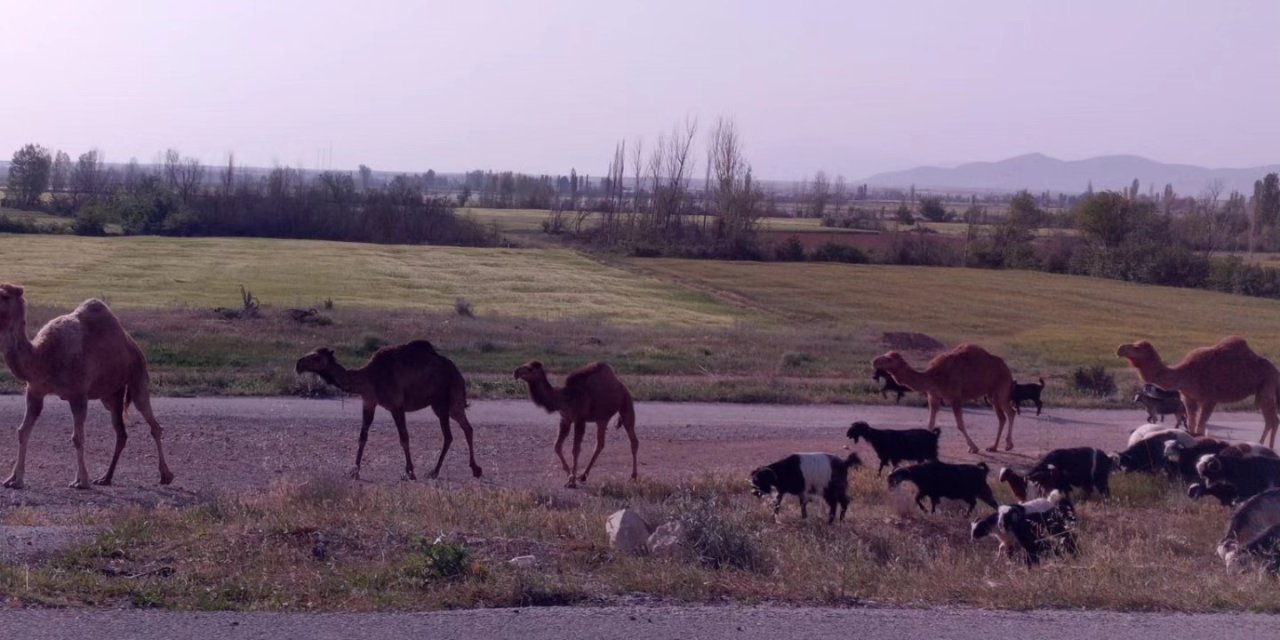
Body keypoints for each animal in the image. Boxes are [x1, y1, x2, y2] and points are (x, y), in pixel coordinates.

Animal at [0, 285, 174, 488]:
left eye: (5, 296)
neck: (42, 356)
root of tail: (133, 345)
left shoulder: (78, 394)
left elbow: (77, 437)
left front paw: (82, 481)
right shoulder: (35, 391)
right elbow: (23, 431)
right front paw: (14, 479)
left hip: (138, 374)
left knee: (152, 422)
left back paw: (166, 475)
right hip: (111, 394)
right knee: (121, 432)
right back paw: (105, 478)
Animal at [294, 340, 483, 481]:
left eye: (316, 357)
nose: (298, 364)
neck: (370, 377)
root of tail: (457, 372)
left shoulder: (396, 405)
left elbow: (404, 438)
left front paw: (410, 472)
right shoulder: (369, 402)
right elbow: (362, 437)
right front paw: (354, 471)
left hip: (446, 399)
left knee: (450, 434)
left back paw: (435, 471)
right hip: (444, 403)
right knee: (467, 428)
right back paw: (474, 469)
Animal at [512, 358, 637, 486]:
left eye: (530, 369)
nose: (516, 372)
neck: (564, 398)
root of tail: (620, 384)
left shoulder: (580, 420)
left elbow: (575, 449)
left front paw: (571, 481)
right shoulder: (565, 419)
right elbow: (557, 446)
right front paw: (569, 474)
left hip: (626, 403)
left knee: (633, 440)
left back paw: (633, 476)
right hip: (602, 418)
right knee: (600, 444)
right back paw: (583, 476)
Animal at [875, 343, 1013, 453]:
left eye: (889, 358)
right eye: (885, 354)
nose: (875, 360)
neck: (933, 376)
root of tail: (1007, 368)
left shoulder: (955, 397)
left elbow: (960, 424)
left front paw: (973, 447)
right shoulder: (933, 396)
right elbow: (930, 423)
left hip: (1000, 390)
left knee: (1010, 412)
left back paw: (1007, 445)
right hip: (991, 394)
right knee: (1003, 417)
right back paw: (994, 447)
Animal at [1111, 337, 1280, 448]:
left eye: (1137, 347)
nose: (1119, 349)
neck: (1186, 373)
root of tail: (1276, 371)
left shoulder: (1210, 399)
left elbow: (1199, 427)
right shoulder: (1188, 398)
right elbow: (1191, 426)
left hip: (1267, 386)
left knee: (1272, 419)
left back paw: (1267, 448)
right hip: (1263, 391)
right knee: (1271, 419)